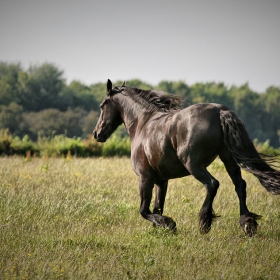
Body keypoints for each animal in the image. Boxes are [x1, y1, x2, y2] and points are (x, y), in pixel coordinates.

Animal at [94, 79, 280, 236]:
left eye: (102, 105)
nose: (97, 134)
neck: (143, 123)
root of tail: (220, 111)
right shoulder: (161, 180)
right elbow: (157, 206)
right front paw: (159, 229)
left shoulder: (145, 178)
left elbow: (144, 210)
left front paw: (169, 224)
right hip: (229, 160)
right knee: (240, 185)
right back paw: (247, 224)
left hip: (194, 165)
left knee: (212, 184)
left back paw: (204, 223)